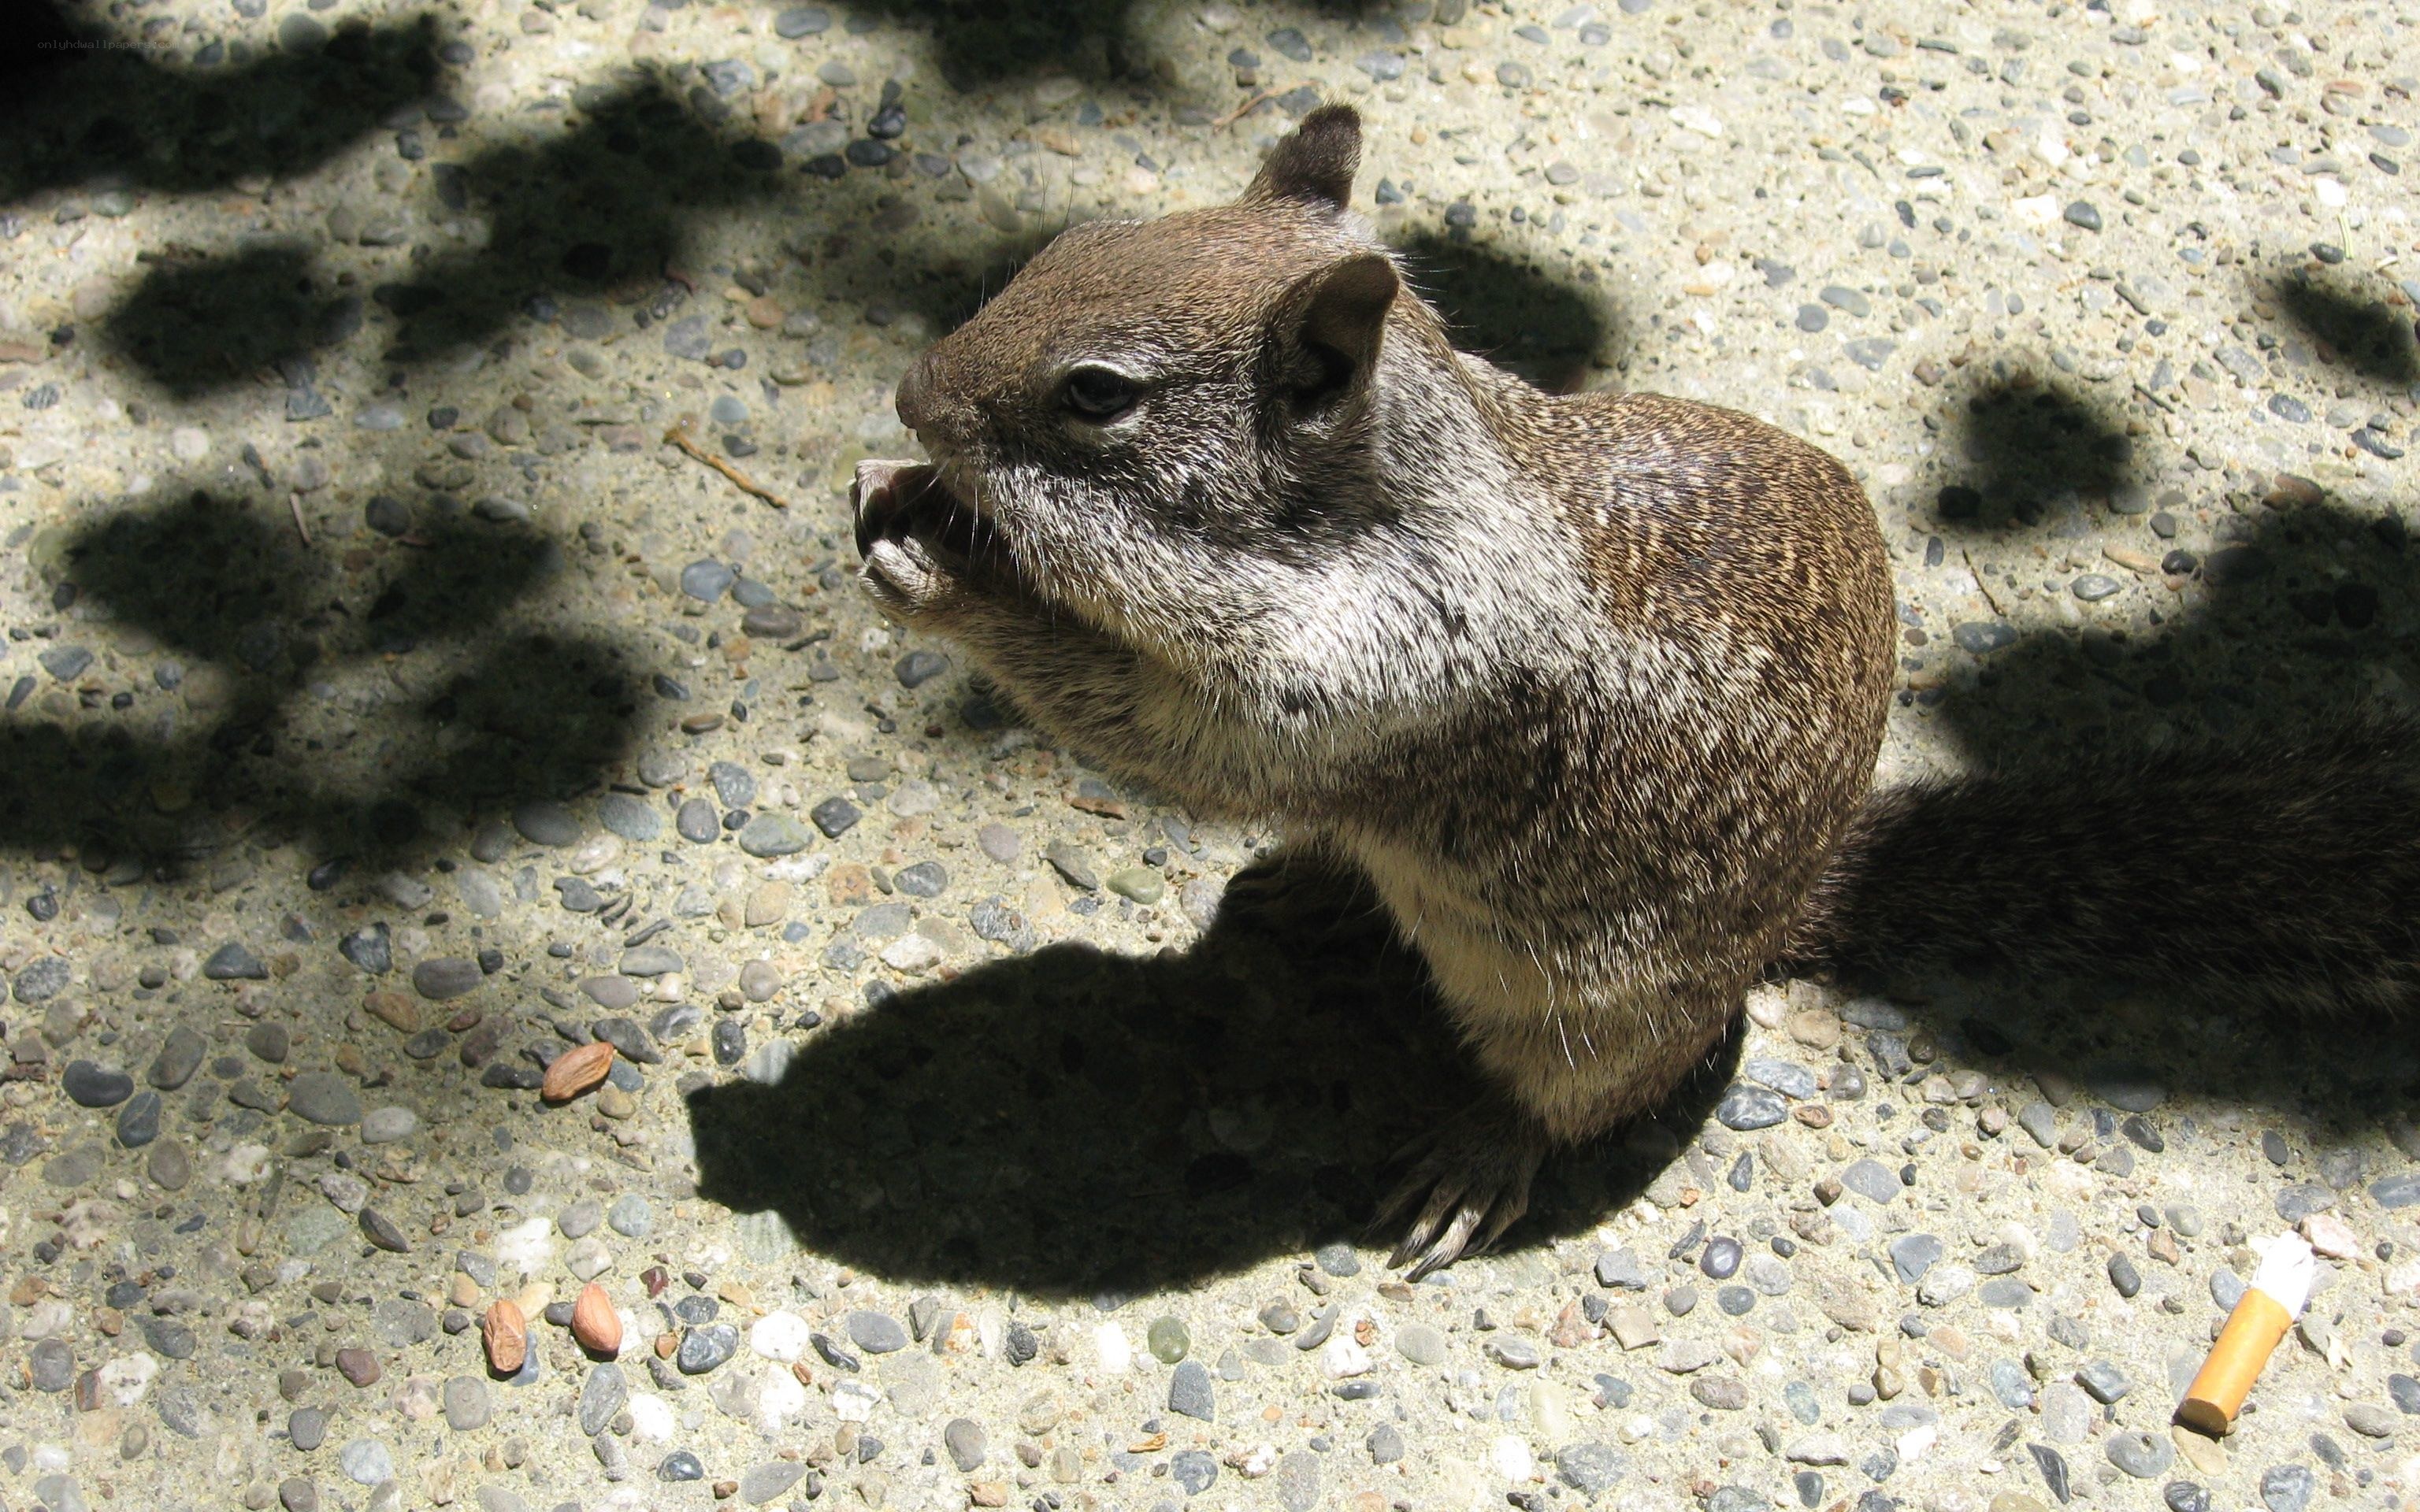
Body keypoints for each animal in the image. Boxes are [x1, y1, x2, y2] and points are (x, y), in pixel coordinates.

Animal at [851, 104, 2420, 1277]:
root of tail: (1795, 910)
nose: (910, 394)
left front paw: (938, 571)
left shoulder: (1368, 687)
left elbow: (1163, 740)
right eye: (1069, 244)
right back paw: (1313, 891)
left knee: (1577, 1101)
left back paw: (1477, 1156)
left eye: (1098, 394)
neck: (1401, 505)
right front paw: (899, 494)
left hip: (1594, 1010)